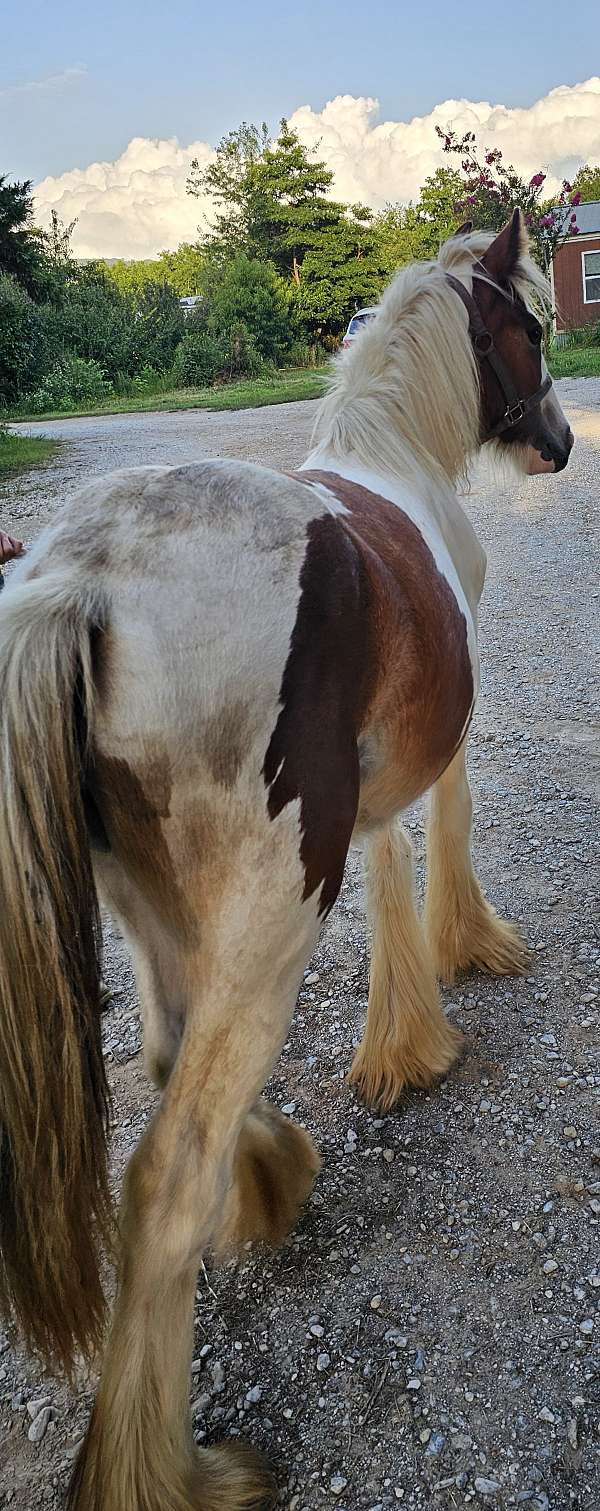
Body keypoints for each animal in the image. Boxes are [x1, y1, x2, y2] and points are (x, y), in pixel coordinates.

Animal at [0, 209, 573, 1511]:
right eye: (532, 322)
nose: (565, 439)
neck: (397, 467)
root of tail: (83, 578)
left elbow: (389, 857)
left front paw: (401, 1040)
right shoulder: (435, 752)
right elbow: (441, 836)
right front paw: (466, 960)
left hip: (155, 897)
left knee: (174, 1057)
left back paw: (275, 1170)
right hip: (271, 903)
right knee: (168, 1168)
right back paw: (175, 1469)